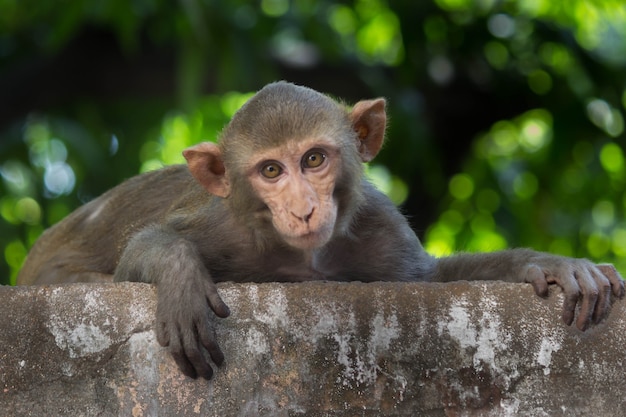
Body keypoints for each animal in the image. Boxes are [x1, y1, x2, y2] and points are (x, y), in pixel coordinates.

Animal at [17, 81, 620, 380]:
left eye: (313, 159)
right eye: (271, 172)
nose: (304, 208)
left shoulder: (379, 228)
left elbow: (431, 281)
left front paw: (552, 265)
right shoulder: (222, 224)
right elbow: (142, 247)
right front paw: (182, 279)